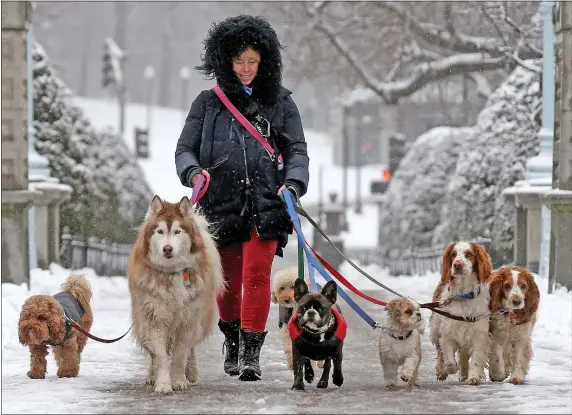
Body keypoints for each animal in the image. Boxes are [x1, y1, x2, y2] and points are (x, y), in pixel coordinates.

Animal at [128, 197, 225, 394]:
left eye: (177, 231)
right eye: (160, 231)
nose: (167, 249)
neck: (172, 272)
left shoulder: (188, 319)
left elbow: (180, 354)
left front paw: (179, 380)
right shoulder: (154, 318)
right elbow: (160, 355)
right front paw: (163, 383)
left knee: (192, 348)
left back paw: (192, 371)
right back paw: (152, 376)